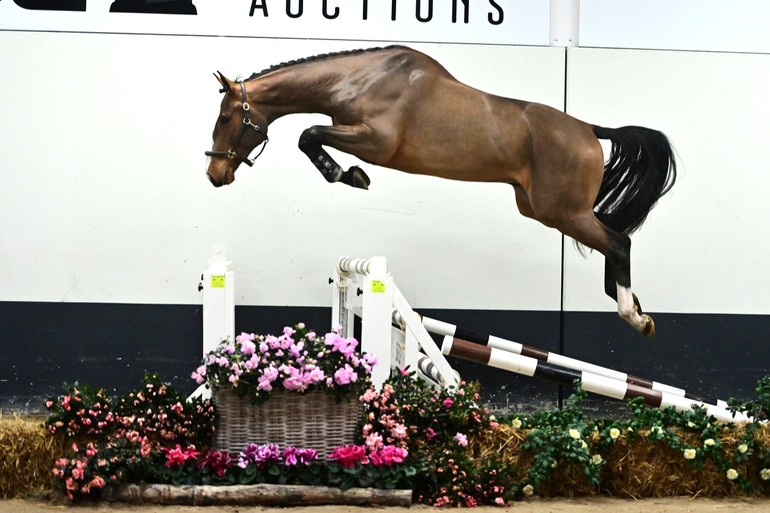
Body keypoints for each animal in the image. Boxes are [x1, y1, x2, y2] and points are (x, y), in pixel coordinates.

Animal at [204, 45, 672, 336]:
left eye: (227, 117)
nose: (214, 173)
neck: (359, 79)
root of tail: (590, 130)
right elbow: (311, 136)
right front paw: (349, 174)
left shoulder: (375, 141)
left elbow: (308, 135)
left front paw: (349, 175)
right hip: (545, 209)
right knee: (613, 239)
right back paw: (631, 303)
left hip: (562, 211)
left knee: (620, 241)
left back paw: (634, 315)